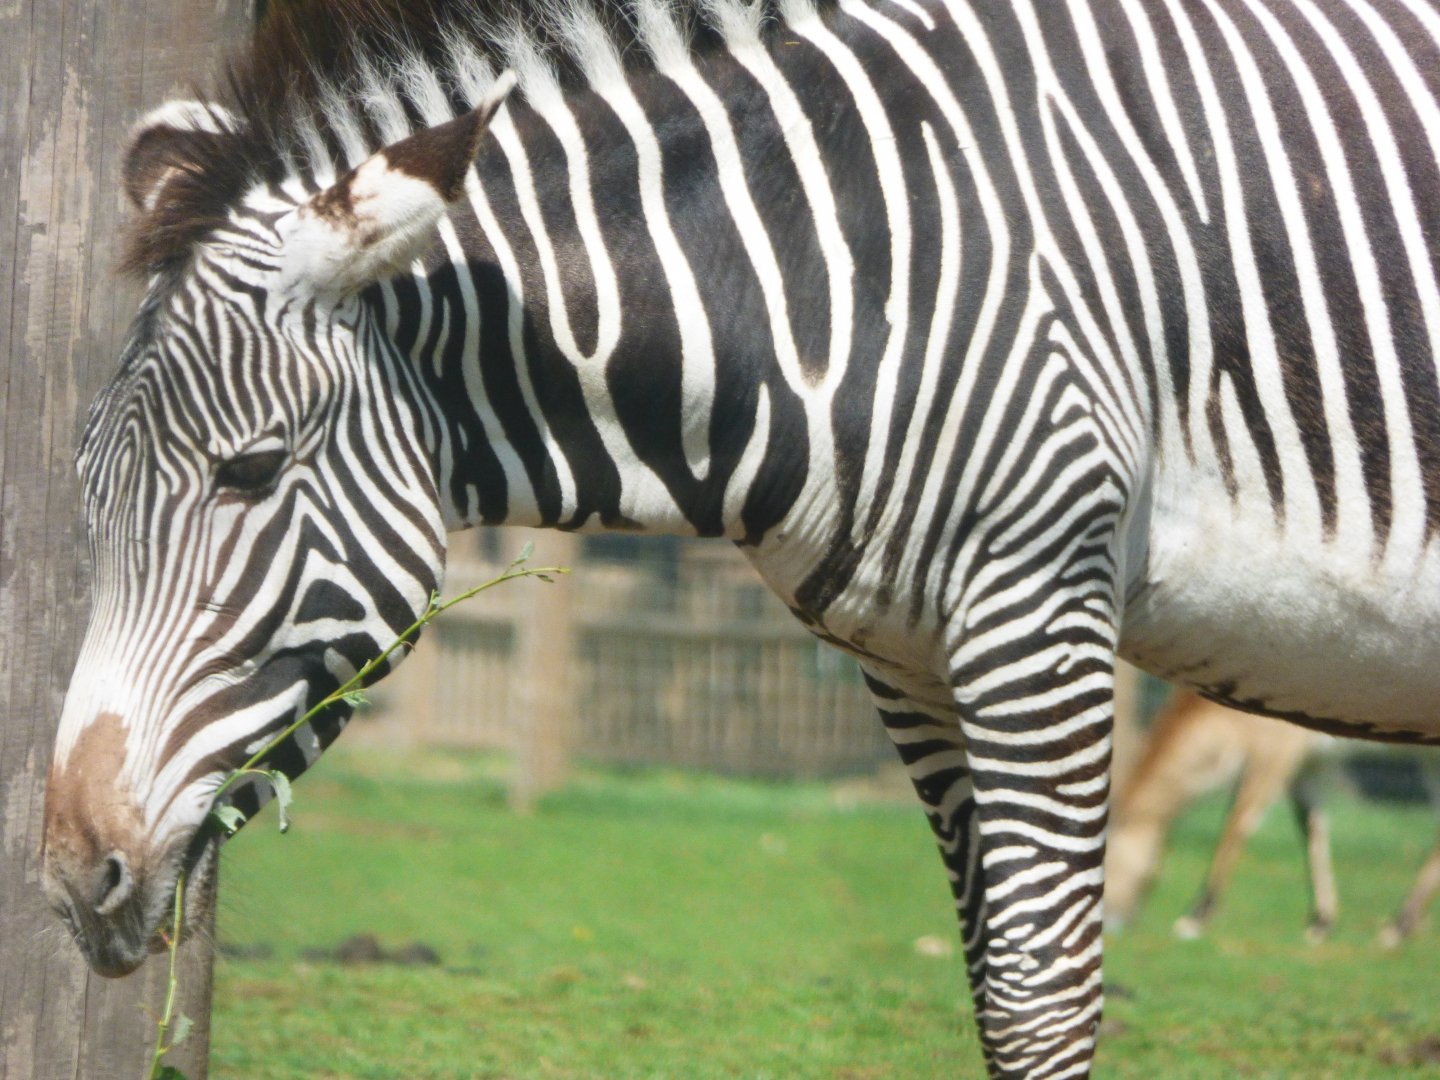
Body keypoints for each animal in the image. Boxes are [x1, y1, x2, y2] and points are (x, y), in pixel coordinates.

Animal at [37, 0, 1440, 1076]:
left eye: (249, 472)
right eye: (88, 485)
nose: (68, 875)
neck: (844, 278)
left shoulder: (1040, 605)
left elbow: (1044, 1006)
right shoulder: (909, 655)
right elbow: (995, 998)